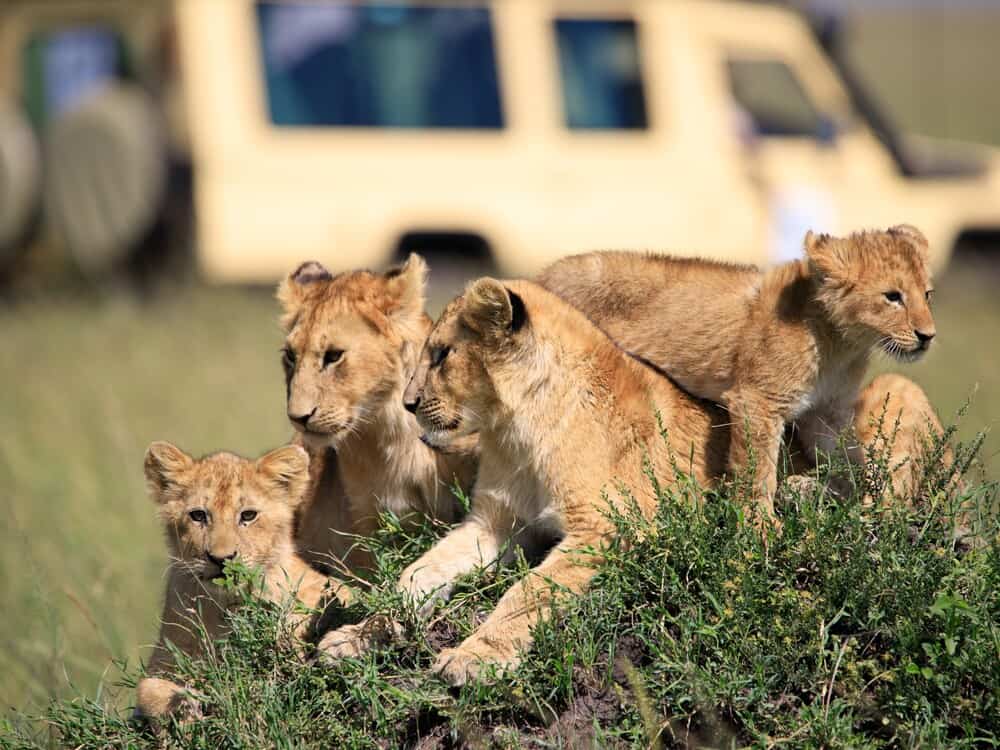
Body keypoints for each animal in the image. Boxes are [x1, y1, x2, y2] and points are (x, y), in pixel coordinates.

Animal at [135, 442, 349, 721]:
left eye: (248, 515)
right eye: (198, 515)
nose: (221, 558)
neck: (228, 603)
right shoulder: (165, 658)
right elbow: (146, 689)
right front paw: (183, 706)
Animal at [317, 278, 731, 684]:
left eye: (441, 354)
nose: (409, 403)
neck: (516, 433)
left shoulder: (609, 527)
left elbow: (530, 590)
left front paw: (475, 657)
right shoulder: (493, 522)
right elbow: (421, 570)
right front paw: (363, 634)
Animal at [537, 225, 937, 522]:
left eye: (927, 294)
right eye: (892, 296)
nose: (928, 336)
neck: (842, 342)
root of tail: (541, 276)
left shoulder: (825, 412)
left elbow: (851, 463)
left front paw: (856, 499)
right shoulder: (756, 401)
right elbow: (757, 471)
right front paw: (759, 528)